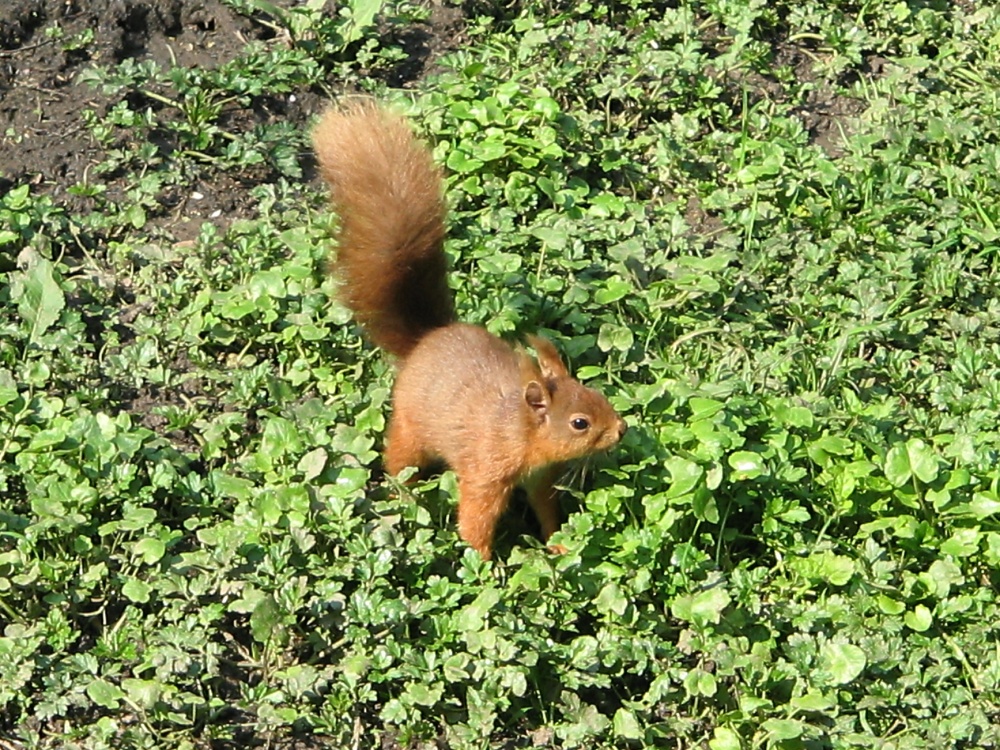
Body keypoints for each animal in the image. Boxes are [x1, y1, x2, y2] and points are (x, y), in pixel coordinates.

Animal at [312, 100, 627, 560]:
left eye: (598, 395)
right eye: (580, 423)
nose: (621, 430)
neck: (519, 431)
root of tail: (425, 340)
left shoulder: (540, 477)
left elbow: (547, 509)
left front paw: (557, 545)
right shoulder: (485, 470)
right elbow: (475, 519)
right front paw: (485, 565)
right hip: (411, 429)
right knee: (399, 463)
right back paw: (403, 496)